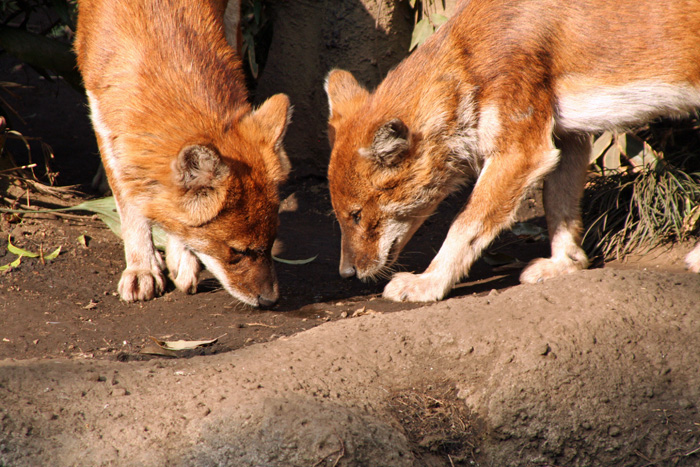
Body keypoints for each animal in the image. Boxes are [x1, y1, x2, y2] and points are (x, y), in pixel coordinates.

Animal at [73, 0, 288, 308]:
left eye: (272, 242)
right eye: (236, 252)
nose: (271, 300)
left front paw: (182, 257)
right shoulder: (102, 112)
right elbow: (131, 201)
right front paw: (142, 267)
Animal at [326, 0, 700, 304]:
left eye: (356, 215)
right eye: (341, 216)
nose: (345, 273)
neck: (466, 57)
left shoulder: (521, 150)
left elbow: (465, 224)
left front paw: (429, 283)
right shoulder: (567, 138)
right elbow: (558, 206)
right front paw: (565, 265)